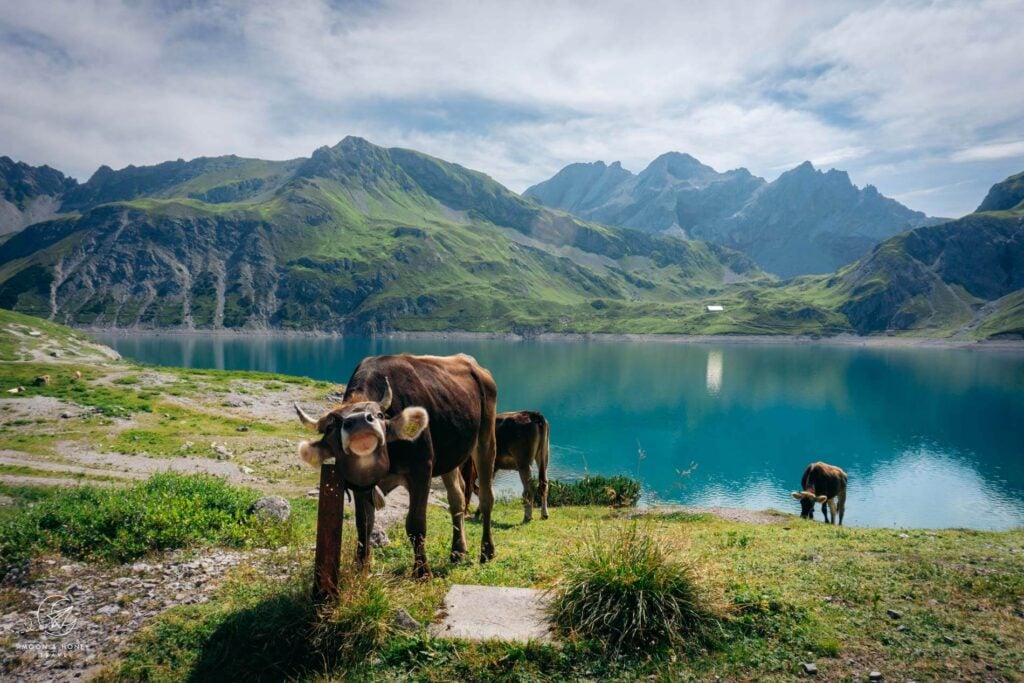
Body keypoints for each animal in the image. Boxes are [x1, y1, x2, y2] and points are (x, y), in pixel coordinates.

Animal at [294, 356, 497, 581]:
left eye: (380, 415)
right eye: (331, 427)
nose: (359, 421)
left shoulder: (422, 470)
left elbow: (415, 524)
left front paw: (422, 572)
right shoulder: (360, 486)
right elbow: (364, 524)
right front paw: (361, 568)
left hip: (486, 438)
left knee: (486, 497)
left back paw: (487, 551)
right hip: (449, 458)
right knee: (457, 497)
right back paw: (458, 551)